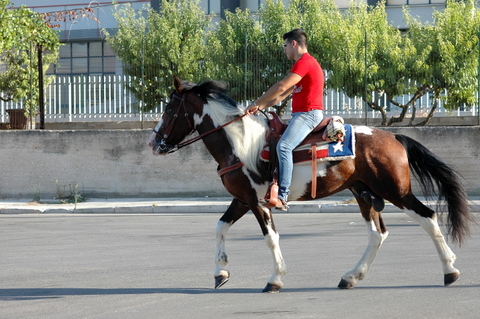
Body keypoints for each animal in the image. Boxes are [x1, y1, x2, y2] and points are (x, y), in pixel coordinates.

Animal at [148, 76, 474, 294]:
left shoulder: (258, 202)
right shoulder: (242, 199)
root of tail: (393, 136)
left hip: (395, 191)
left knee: (428, 218)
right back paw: (351, 276)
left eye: (168, 109)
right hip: (363, 193)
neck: (240, 145)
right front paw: (221, 272)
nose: (154, 143)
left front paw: (275, 279)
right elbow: (219, 228)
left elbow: (271, 238)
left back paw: (450, 270)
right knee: (377, 234)